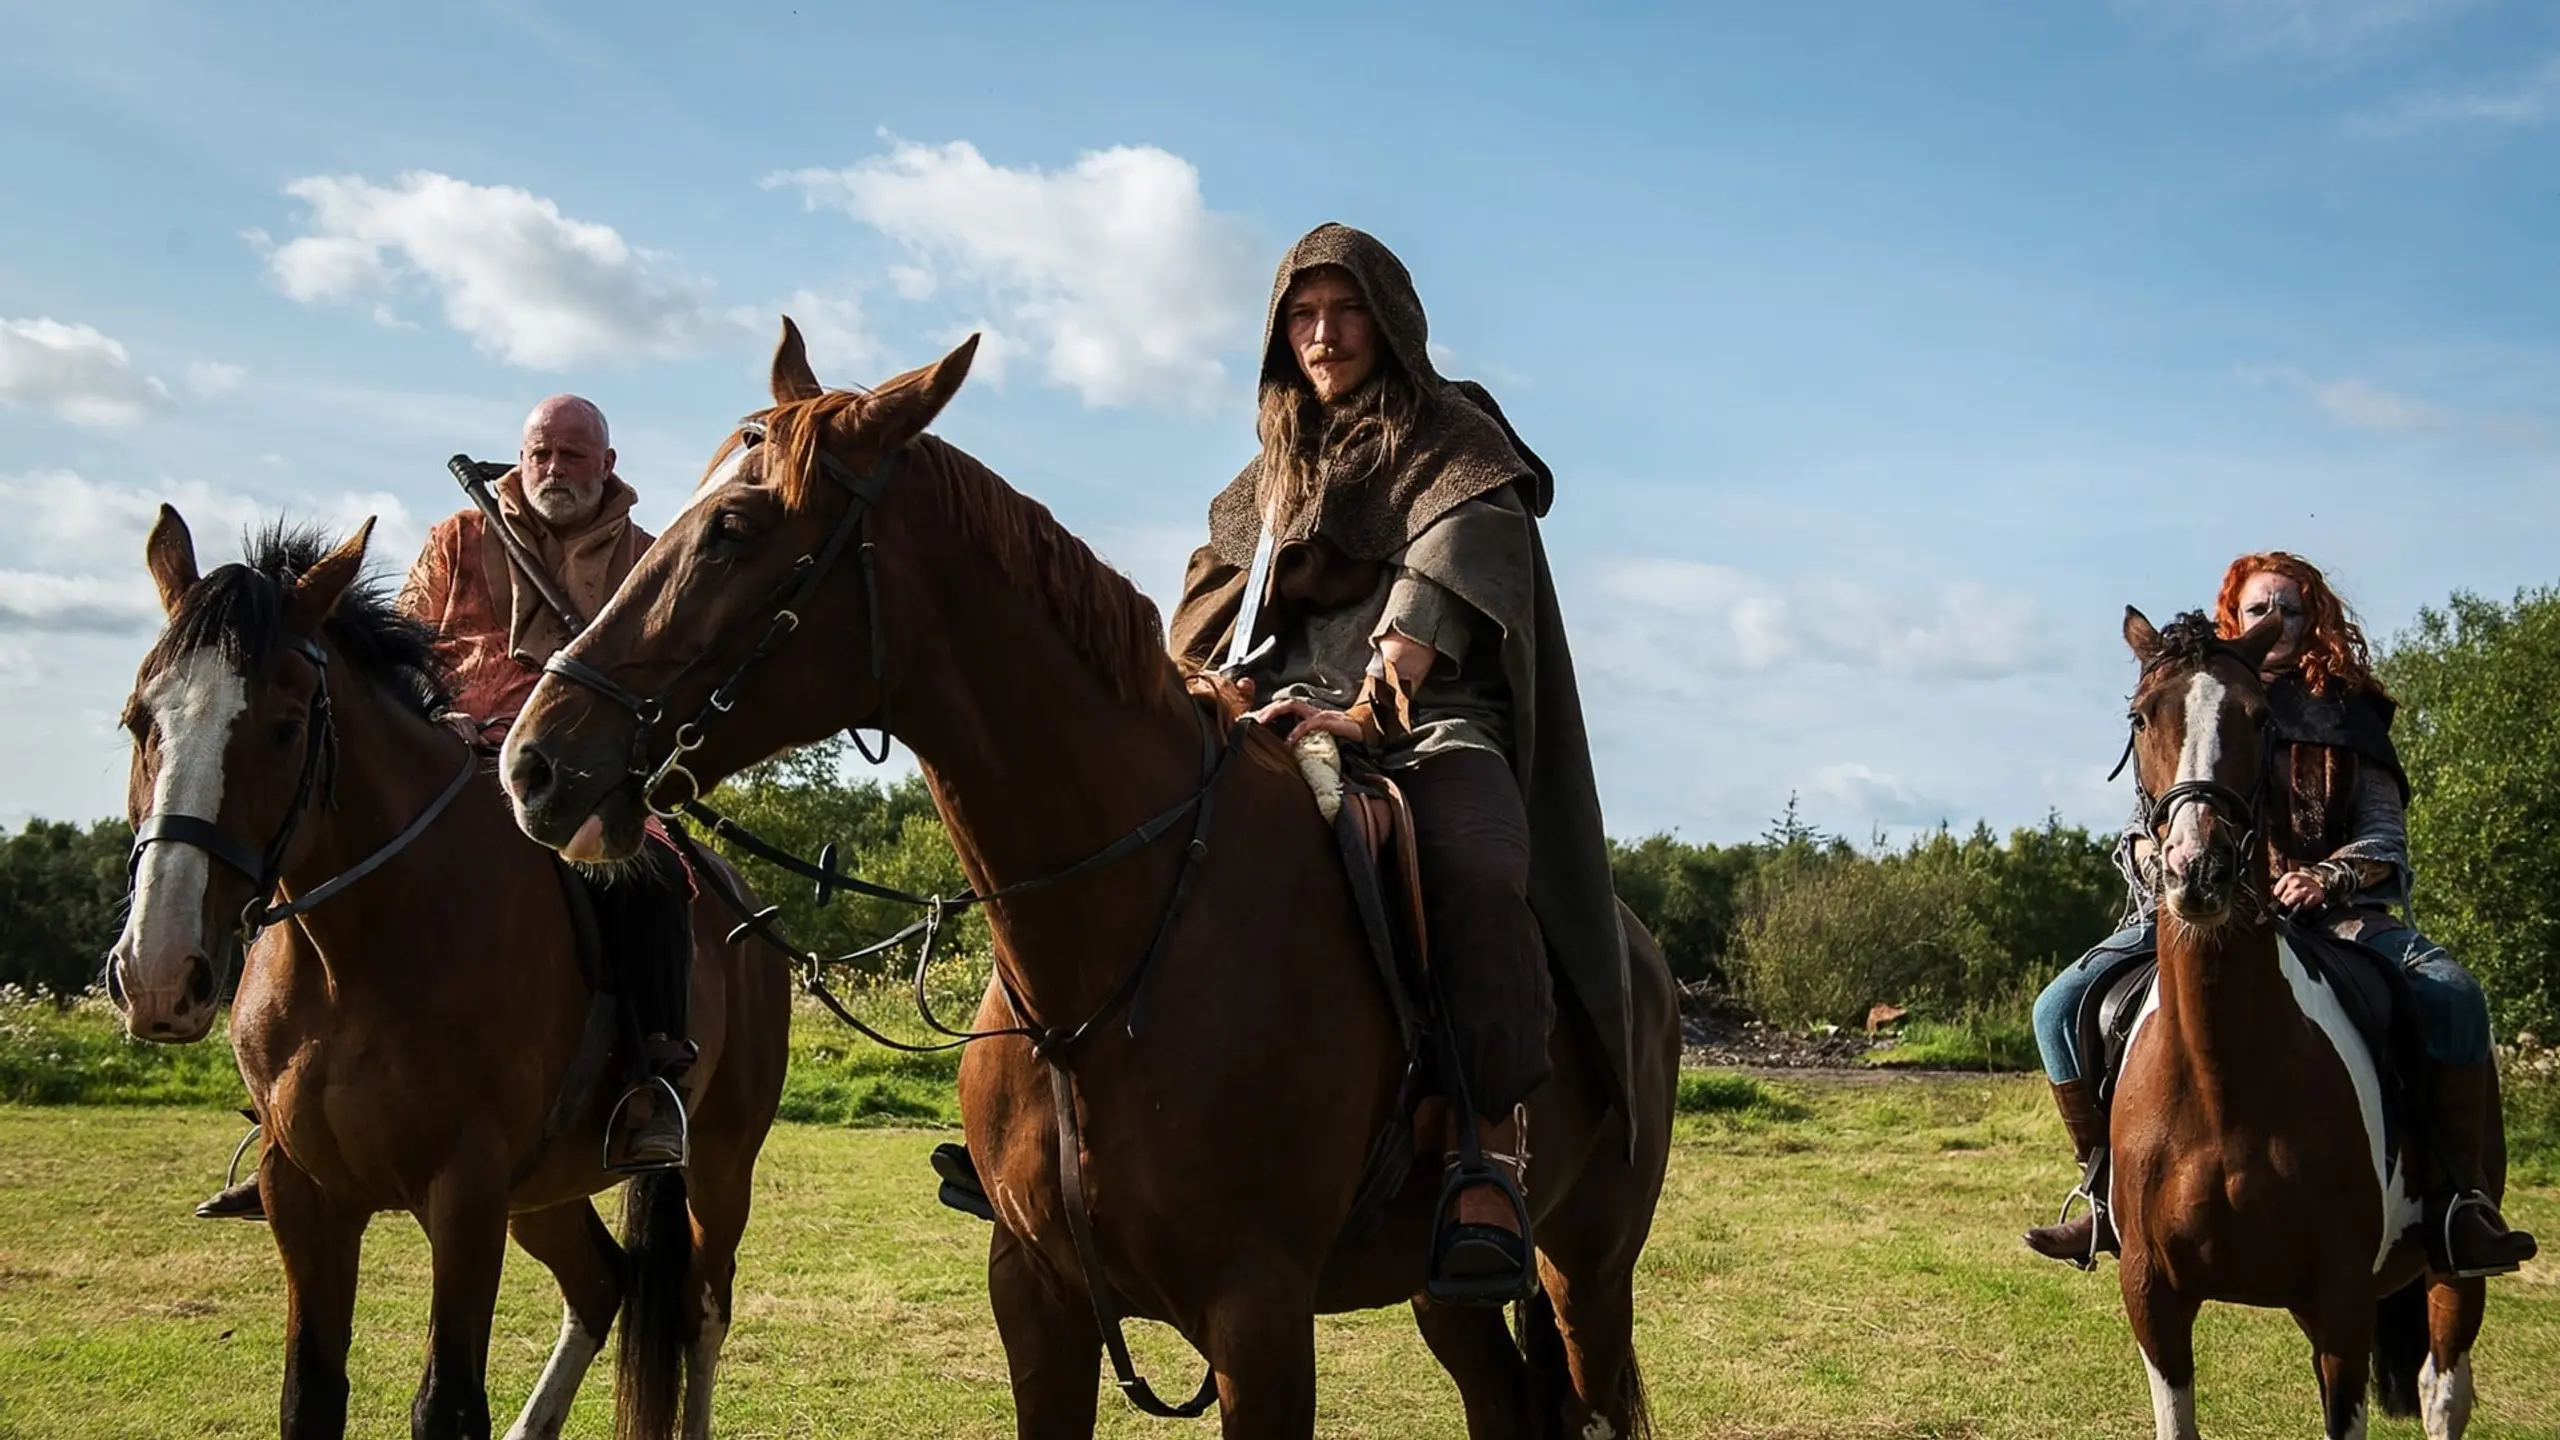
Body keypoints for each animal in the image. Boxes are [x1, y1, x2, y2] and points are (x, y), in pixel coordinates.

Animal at [107, 512, 788, 1434]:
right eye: (139, 721)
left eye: (285, 725)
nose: (158, 972)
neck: (352, 963)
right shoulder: (304, 1195)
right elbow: (310, 1394)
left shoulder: (465, 1195)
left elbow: (448, 1401)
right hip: (543, 1193)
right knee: (602, 1282)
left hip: (716, 1167)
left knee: (699, 1309)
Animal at [496, 325, 1679, 1434]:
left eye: (735, 530)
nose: (536, 763)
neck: (1118, 946)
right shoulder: (1037, 1295)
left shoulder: (1261, 1321)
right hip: (1447, 1298)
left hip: (1586, 1268)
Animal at [2099, 604, 2498, 1434]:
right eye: (2142, 716)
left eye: (2259, 718)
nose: (2199, 869)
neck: (2222, 1076)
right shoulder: (2155, 1300)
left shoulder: (2340, 1306)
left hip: (2457, 1270)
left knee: (2445, 1389)